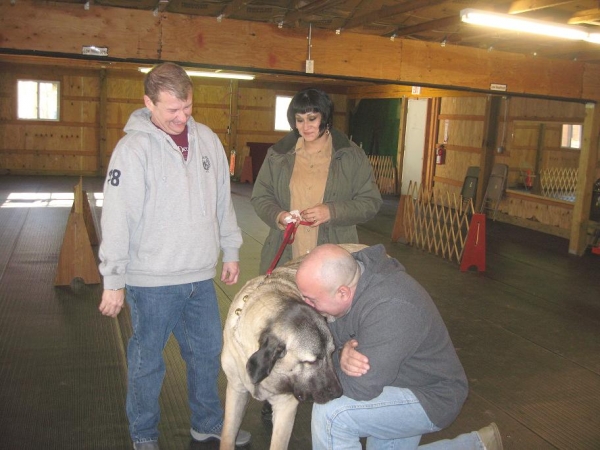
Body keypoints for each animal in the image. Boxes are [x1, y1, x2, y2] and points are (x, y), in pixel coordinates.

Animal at [220, 248, 354, 448]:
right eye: (311, 361)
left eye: (331, 354)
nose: (338, 393)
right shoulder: (236, 391)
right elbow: (227, 436)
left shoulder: (285, 407)